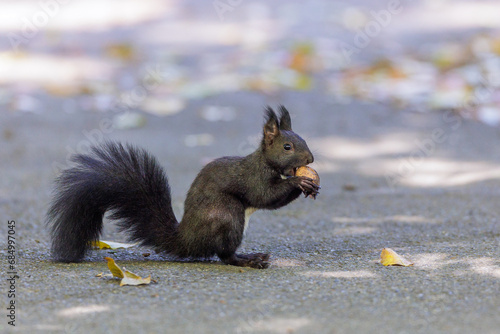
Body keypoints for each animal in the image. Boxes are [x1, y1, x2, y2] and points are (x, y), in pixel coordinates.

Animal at [47, 106, 320, 268]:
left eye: (303, 139)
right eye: (287, 147)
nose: (310, 159)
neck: (264, 161)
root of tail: (186, 239)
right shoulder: (253, 177)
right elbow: (265, 196)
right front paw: (299, 182)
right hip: (227, 215)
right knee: (225, 255)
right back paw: (248, 259)